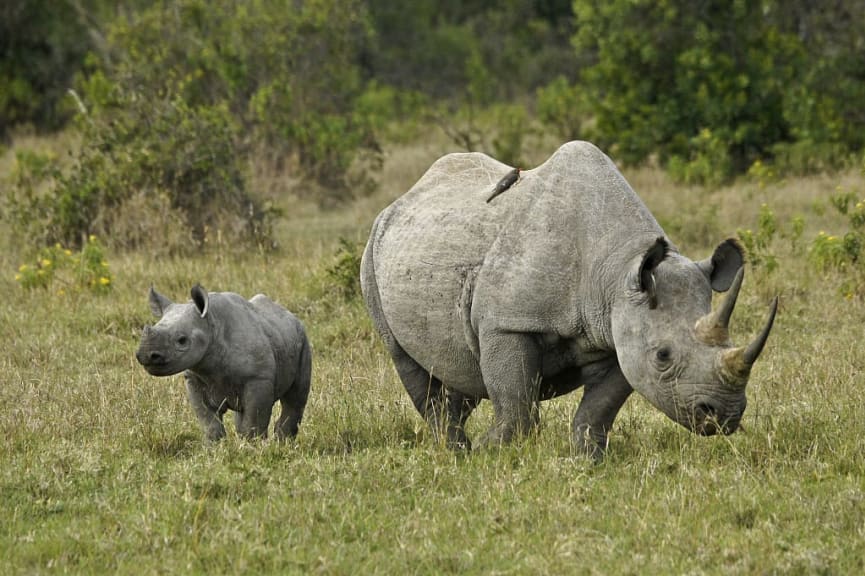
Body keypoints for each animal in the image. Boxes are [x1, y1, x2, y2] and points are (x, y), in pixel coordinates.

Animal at [135, 284, 310, 440]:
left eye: (182, 340)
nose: (145, 355)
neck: (212, 325)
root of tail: (290, 314)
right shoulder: (194, 379)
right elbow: (210, 424)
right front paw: (215, 448)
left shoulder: (258, 379)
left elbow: (253, 422)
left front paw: (252, 448)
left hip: (303, 341)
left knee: (295, 399)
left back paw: (284, 443)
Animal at [362, 140, 780, 460]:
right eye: (663, 356)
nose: (723, 416)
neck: (615, 272)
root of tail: (403, 198)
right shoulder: (507, 323)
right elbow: (517, 406)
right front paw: (486, 454)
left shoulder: (619, 331)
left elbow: (597, 411)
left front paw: (589, 460)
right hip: (372, 251)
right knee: (405, 359)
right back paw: (455, 451)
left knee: (459, 371)